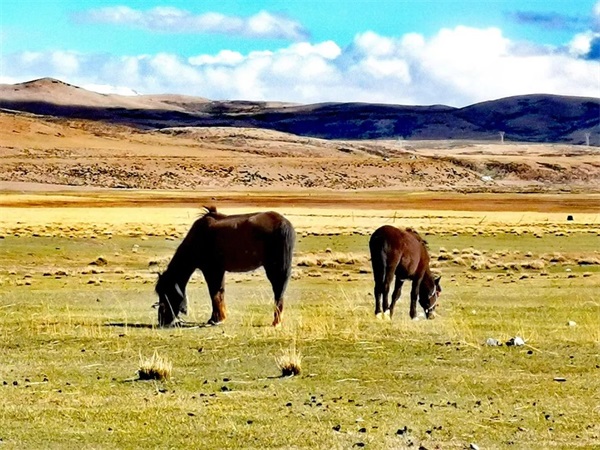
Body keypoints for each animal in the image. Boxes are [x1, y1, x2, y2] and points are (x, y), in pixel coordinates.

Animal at [155, 207, 296, 326]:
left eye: (166, 293)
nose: (162, 320)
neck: (198, 238)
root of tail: (283, 222)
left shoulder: (211, 270)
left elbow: (214, 293)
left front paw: (215, 319)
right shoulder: (219, 270)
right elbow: (220, 292)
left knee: (278, 291)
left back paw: (276, 322)